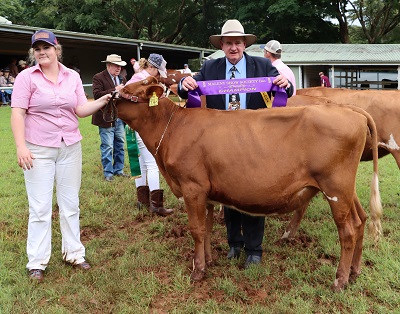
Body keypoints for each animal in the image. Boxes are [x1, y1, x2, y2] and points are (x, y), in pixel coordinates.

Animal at [115, 77, 382, 290]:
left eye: (129, 88)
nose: (111, 96)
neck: (174, 127)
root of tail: (351, 111)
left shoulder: (192, 187)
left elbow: (197, 230)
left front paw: (198, 270)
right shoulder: (206, 194)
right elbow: (207, 228)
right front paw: (209, 260)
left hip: (335, 188)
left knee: (347, 231)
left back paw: (339, 280)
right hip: (345, 189)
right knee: (360, 220)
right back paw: (354, 273)